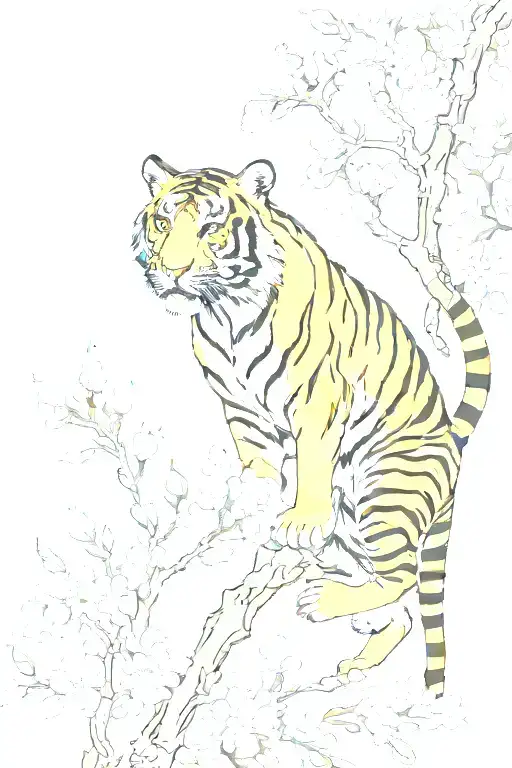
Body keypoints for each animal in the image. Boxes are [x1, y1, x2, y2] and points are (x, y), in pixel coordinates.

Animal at [132, 154, 490, 698]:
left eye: (211, 228)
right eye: (162, 223)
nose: (171, 273)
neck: (223, 312)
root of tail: (454, 446)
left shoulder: (320, 393)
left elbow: (314, 458)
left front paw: (300, 519)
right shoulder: (239, 408)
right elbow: (257, 462)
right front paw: (254, 505)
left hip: (387, 491)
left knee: (403, 576)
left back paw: (321, 602)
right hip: (351, 541)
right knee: (404, 611)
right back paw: (356, 662)